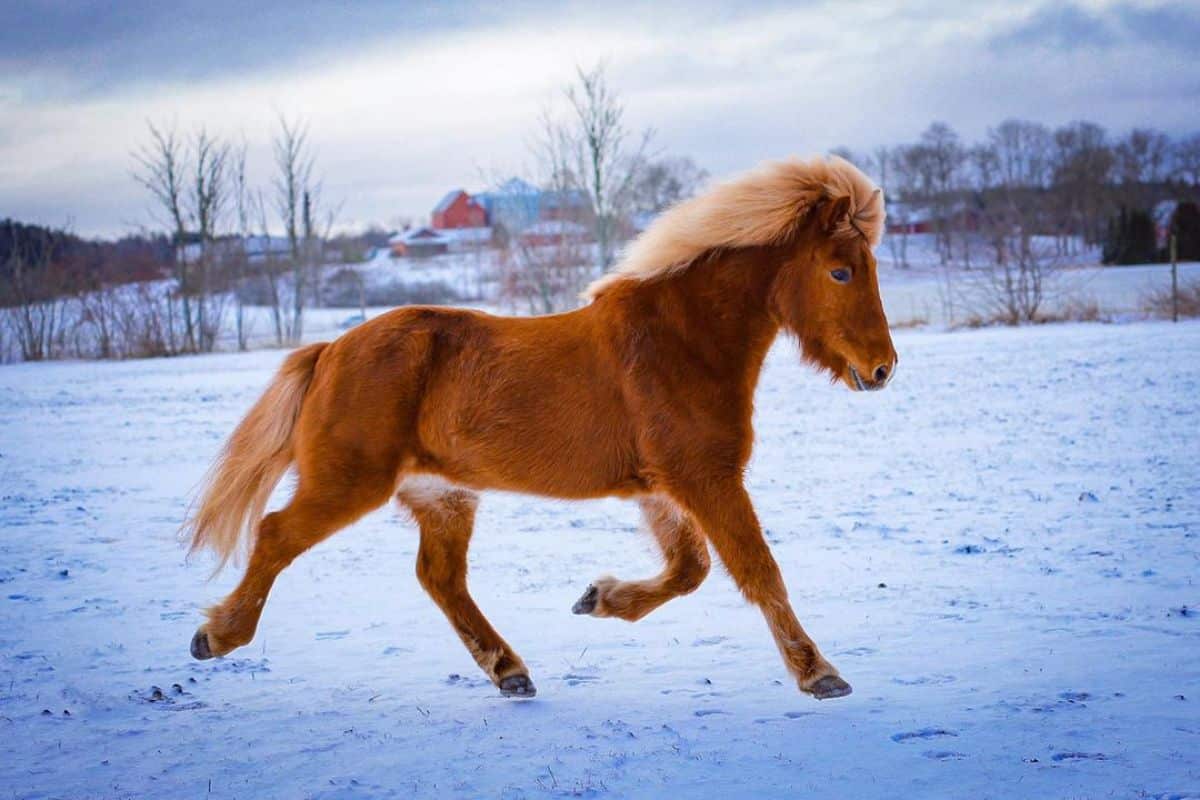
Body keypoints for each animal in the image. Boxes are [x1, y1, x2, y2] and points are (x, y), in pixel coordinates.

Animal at [184, 154, 892, 700]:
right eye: (839, 270)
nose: (882, 369)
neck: (680, 341)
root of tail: (329, 350)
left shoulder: (665, 487)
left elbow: (690, 570)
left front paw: (598, 598)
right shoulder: (706, 478)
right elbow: (756, 570)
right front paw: (820, 674)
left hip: (443, 496)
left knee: (439, 579)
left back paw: (511, 672)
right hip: (349, 484)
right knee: (276, 534)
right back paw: (216, 636)